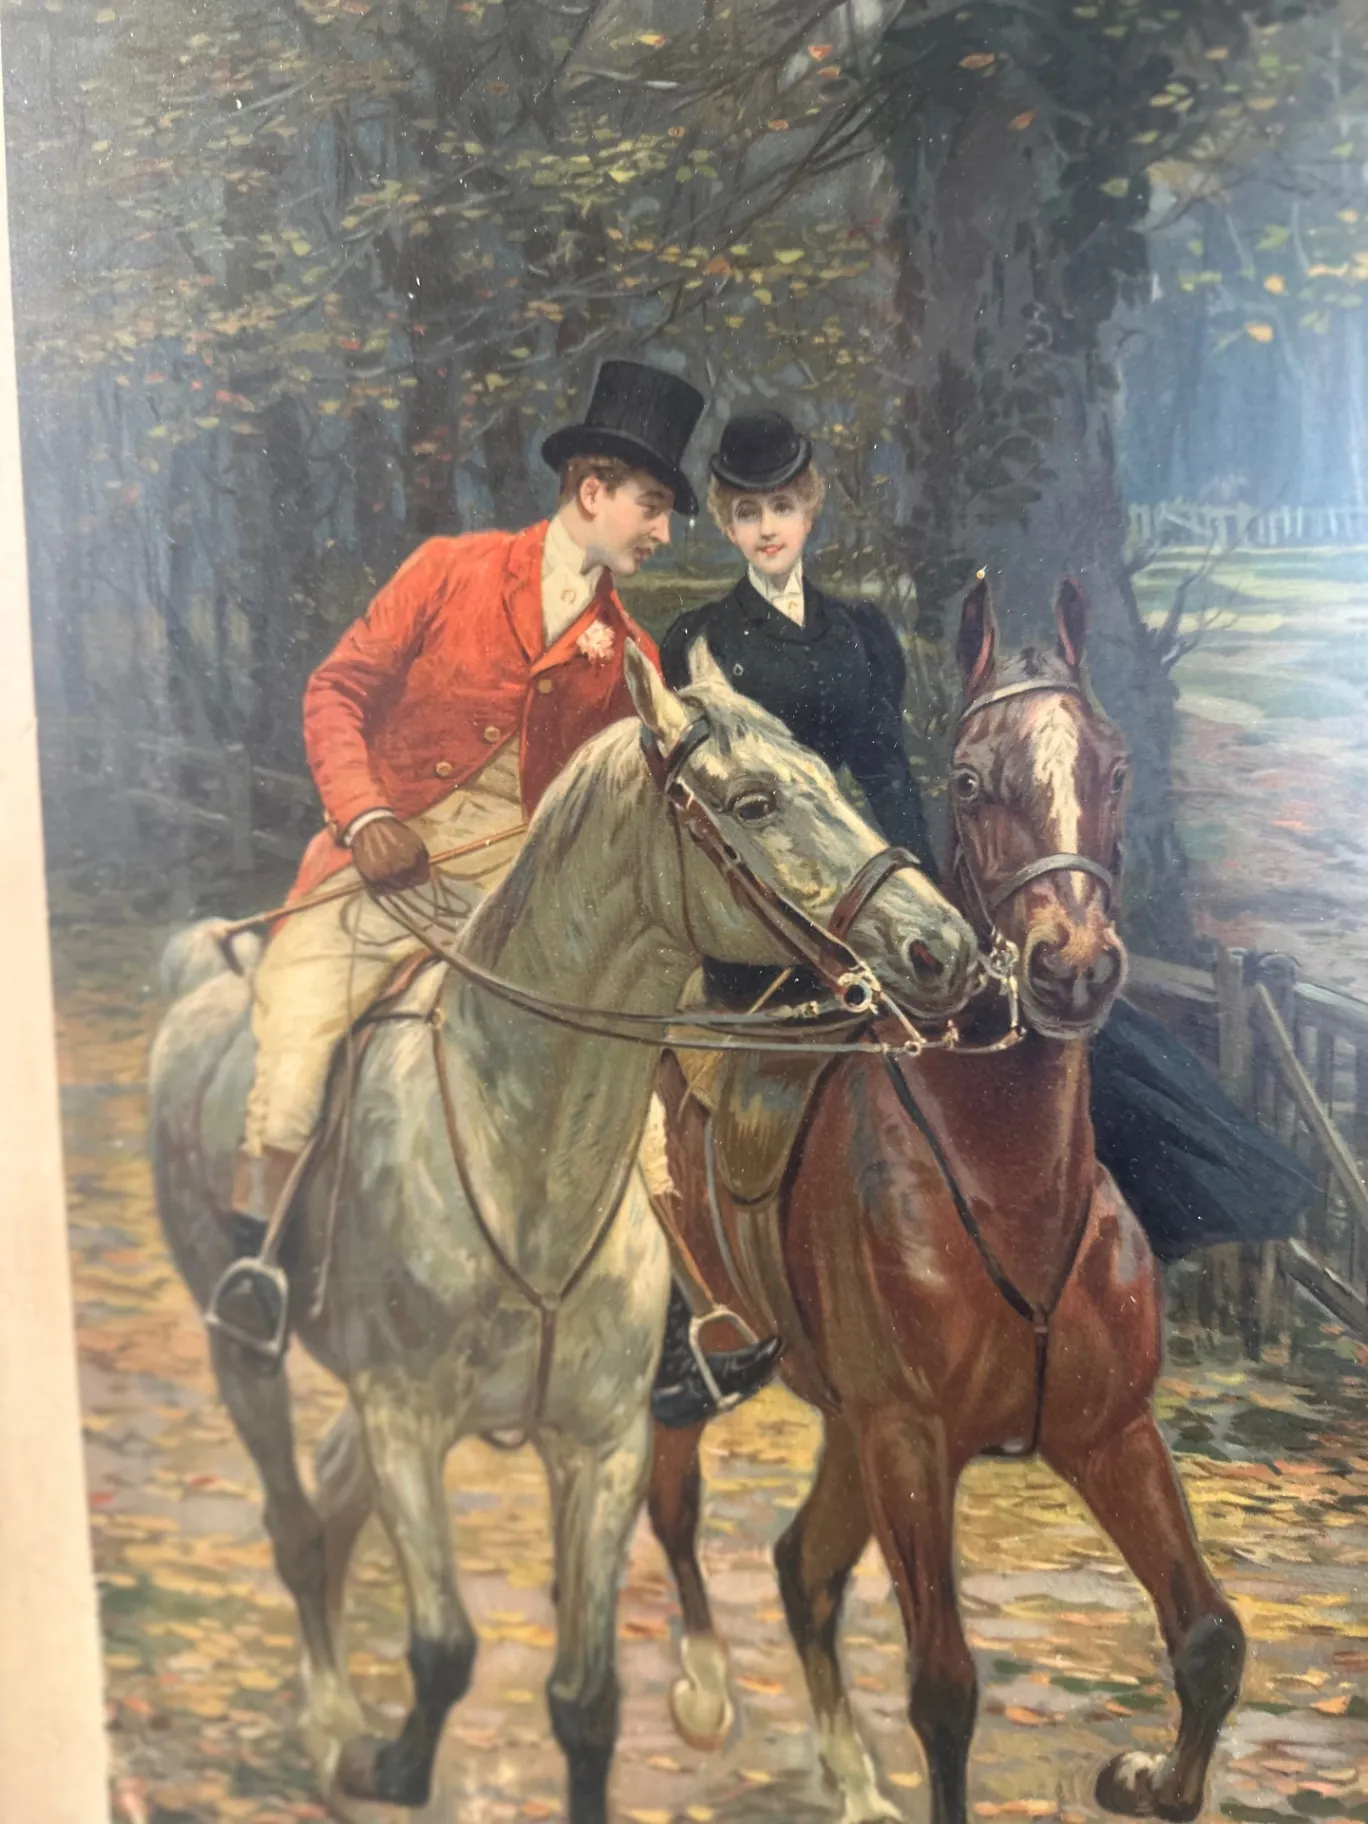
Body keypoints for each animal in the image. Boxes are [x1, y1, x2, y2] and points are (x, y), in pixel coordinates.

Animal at [148, 642, 980, 1822]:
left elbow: (585, 1702)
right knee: (299, 1529)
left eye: (830, 777)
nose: (944, 946)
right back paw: (333, 1727)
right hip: (244, 1357)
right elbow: (445, 1650)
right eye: (754, 802)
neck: (523, 1160)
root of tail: (204, 981)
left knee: (331, 1498)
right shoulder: (408, 1422)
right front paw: (392, 1763)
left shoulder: (602, 1445)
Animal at [647, 580, 1245, 1824]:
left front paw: (1141, 1779)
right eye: (969, 779)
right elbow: (944, 1693)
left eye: (1115, 765)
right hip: (702, 1362)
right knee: (671, 1500)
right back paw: (704, 1694)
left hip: (843, 1423)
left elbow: (1211, 1640)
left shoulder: (1109, 1433)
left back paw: (846, 1775)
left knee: (801, 1567)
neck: (1007, 1180)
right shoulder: (910, 1443)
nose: (1072, 967)